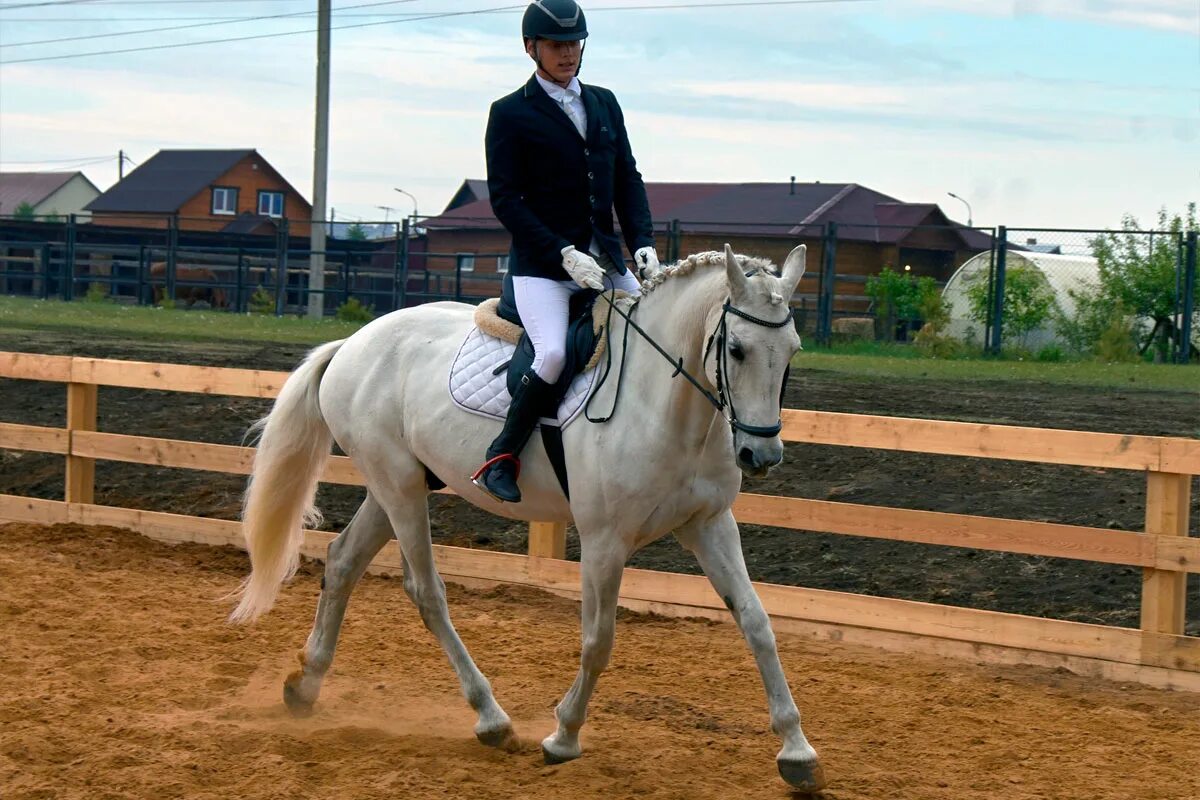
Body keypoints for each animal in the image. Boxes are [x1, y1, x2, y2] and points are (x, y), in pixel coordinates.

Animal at [228, 242, 825, 786]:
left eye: (792, 349)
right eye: (738, 349)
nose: (761, 456)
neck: (664, 405)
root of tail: (353, 343)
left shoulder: (708, 524)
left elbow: (757, 622)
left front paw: (797, 751)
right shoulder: (605, 540)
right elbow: (598, 640)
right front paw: (563, 736)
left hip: (394, 487)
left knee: (342, 561)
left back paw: (305, 686)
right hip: (397, 487)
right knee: (426, 591)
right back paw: (491, 718)